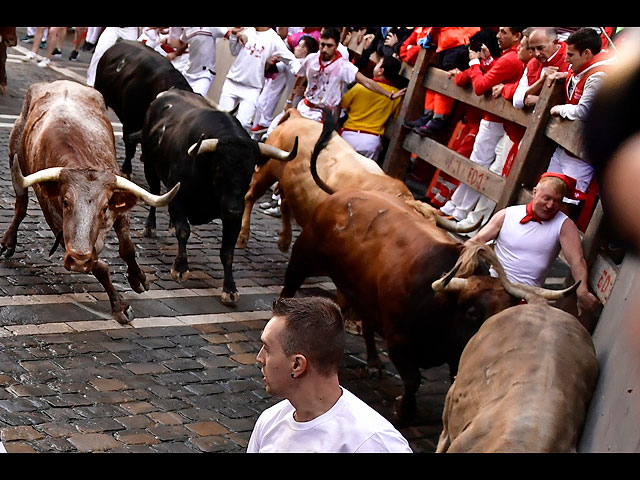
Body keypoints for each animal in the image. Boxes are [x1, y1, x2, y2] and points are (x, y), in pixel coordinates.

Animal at [3, 80, 179, 324]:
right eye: (65, 202)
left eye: (104, 207)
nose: (78, 258)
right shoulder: (59, 226)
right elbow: (98, 266)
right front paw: (120, 305)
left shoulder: (119, 211)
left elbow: (128, 249)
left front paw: (138, 278)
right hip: (14, 156)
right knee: (20, 206)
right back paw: (9, 241)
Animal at [138, 89, 298, 306]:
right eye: (221, 170)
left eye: (250, 173)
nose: (234, 209)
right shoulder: (177, 196)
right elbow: (184, 231)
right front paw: (180, 268)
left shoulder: (234, 218)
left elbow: (228, 252)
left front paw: (230, 289)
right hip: (150, 166)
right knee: (154, 194)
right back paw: (150, 226)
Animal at [238, 108, 472, 251]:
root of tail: (298, 118)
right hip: (267, 170)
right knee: (250, 197)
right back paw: (243, 236)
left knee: (285, 204)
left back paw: (284, 241)